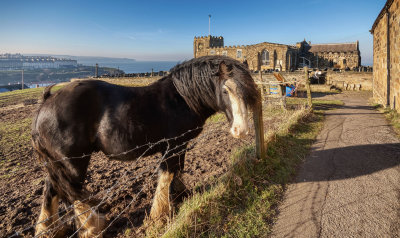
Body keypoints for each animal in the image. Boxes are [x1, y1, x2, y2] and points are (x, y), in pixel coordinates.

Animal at [31, 55, 258, 236]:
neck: (182, 98)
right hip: (73, 163)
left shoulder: (181, 144)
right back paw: (92, 227)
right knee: (72, 192)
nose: (241, 130)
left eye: (249, 90)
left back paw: (48, 230)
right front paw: (159, 217)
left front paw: (181, 197)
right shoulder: (172, 145)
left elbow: (178, 171)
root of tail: (46, 102)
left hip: (58, 163)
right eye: (225, 91)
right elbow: (167, 175)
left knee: (51, 189)